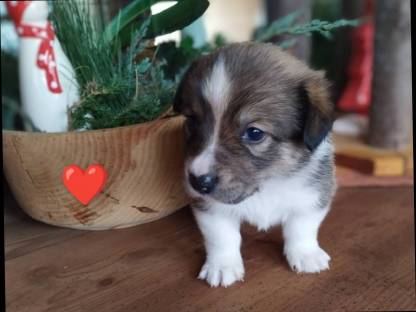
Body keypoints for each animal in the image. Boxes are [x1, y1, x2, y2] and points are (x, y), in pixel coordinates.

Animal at [174, 42, 336, 288]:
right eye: (192, 121)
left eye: (254, 133)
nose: (197, 181)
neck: (266, 186)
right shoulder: (209, 207)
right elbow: (222, 236)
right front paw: (222, 266)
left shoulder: (313, 195)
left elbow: (302, 227)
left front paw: (306, 254)